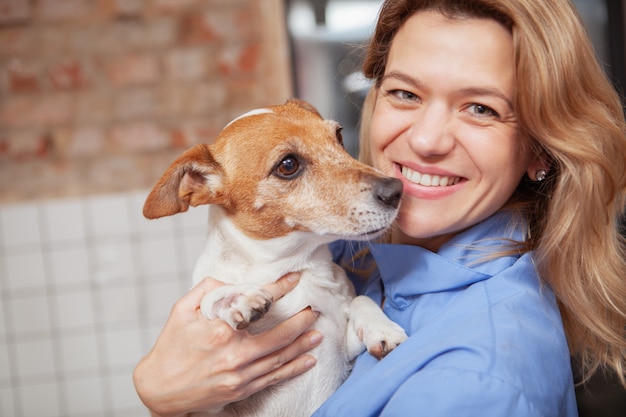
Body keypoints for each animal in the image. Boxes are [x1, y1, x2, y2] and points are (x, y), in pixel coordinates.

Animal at [143, 99, 408, 414]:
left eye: (339, 136)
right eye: (288, 165)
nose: (396, 189)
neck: (299, 267)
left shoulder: (344, 348)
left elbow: (361, 300)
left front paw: (383, 329)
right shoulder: (208, 407)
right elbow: (211, 296)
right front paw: (236, 298)